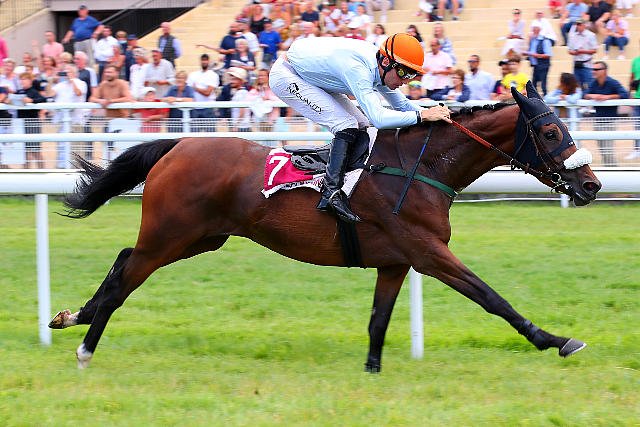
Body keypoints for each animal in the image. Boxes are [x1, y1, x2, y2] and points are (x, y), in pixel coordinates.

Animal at [49, 83, 601, 372]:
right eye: (550, 131)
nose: (591, 185)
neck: (421, 167)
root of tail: (178, 144)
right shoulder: (428, 253)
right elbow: (492, 297)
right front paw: (554, 339)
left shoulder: (395, 261)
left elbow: (379, 320)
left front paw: (373, 370)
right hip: (172, 233)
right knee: (125, 277)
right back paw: (85, 346)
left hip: (199, 238)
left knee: (123, 260)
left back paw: (72, 316)